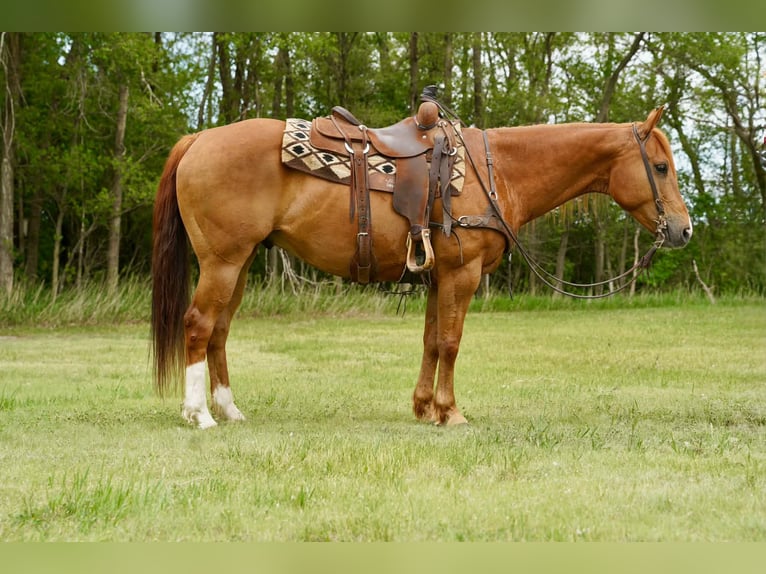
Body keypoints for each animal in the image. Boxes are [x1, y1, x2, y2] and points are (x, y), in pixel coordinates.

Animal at [151, 104, 692, 429]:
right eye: (661, 167)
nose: (684, 230)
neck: (497, 171)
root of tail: (198, 140)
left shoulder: (438, 276)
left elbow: (432, 341)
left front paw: (423, 407)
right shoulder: (462, 274)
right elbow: (451, 342)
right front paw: (450, 413)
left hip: (238, 265)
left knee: (219, 331)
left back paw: (229, 408)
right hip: (222, 262)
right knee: (198, 325)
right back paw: (199, 414)